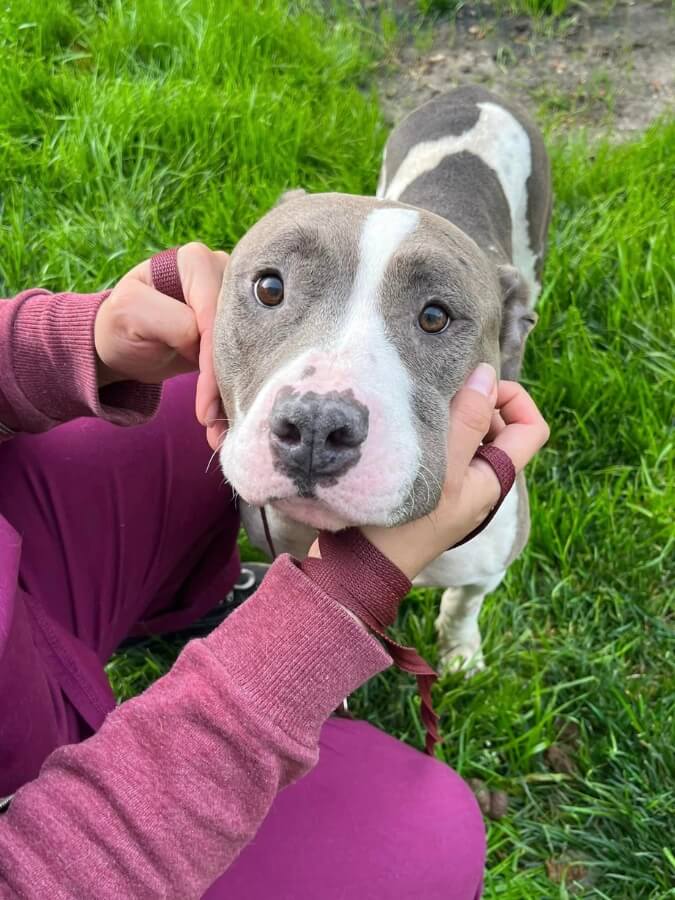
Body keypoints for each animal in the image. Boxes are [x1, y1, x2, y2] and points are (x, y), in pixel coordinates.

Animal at [214, 84, 552, 672]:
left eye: (436, 316)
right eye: (270, 287)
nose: (316, 426)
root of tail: (476, 91)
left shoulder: (489, 563)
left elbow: (464, 603)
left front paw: (460, 652)